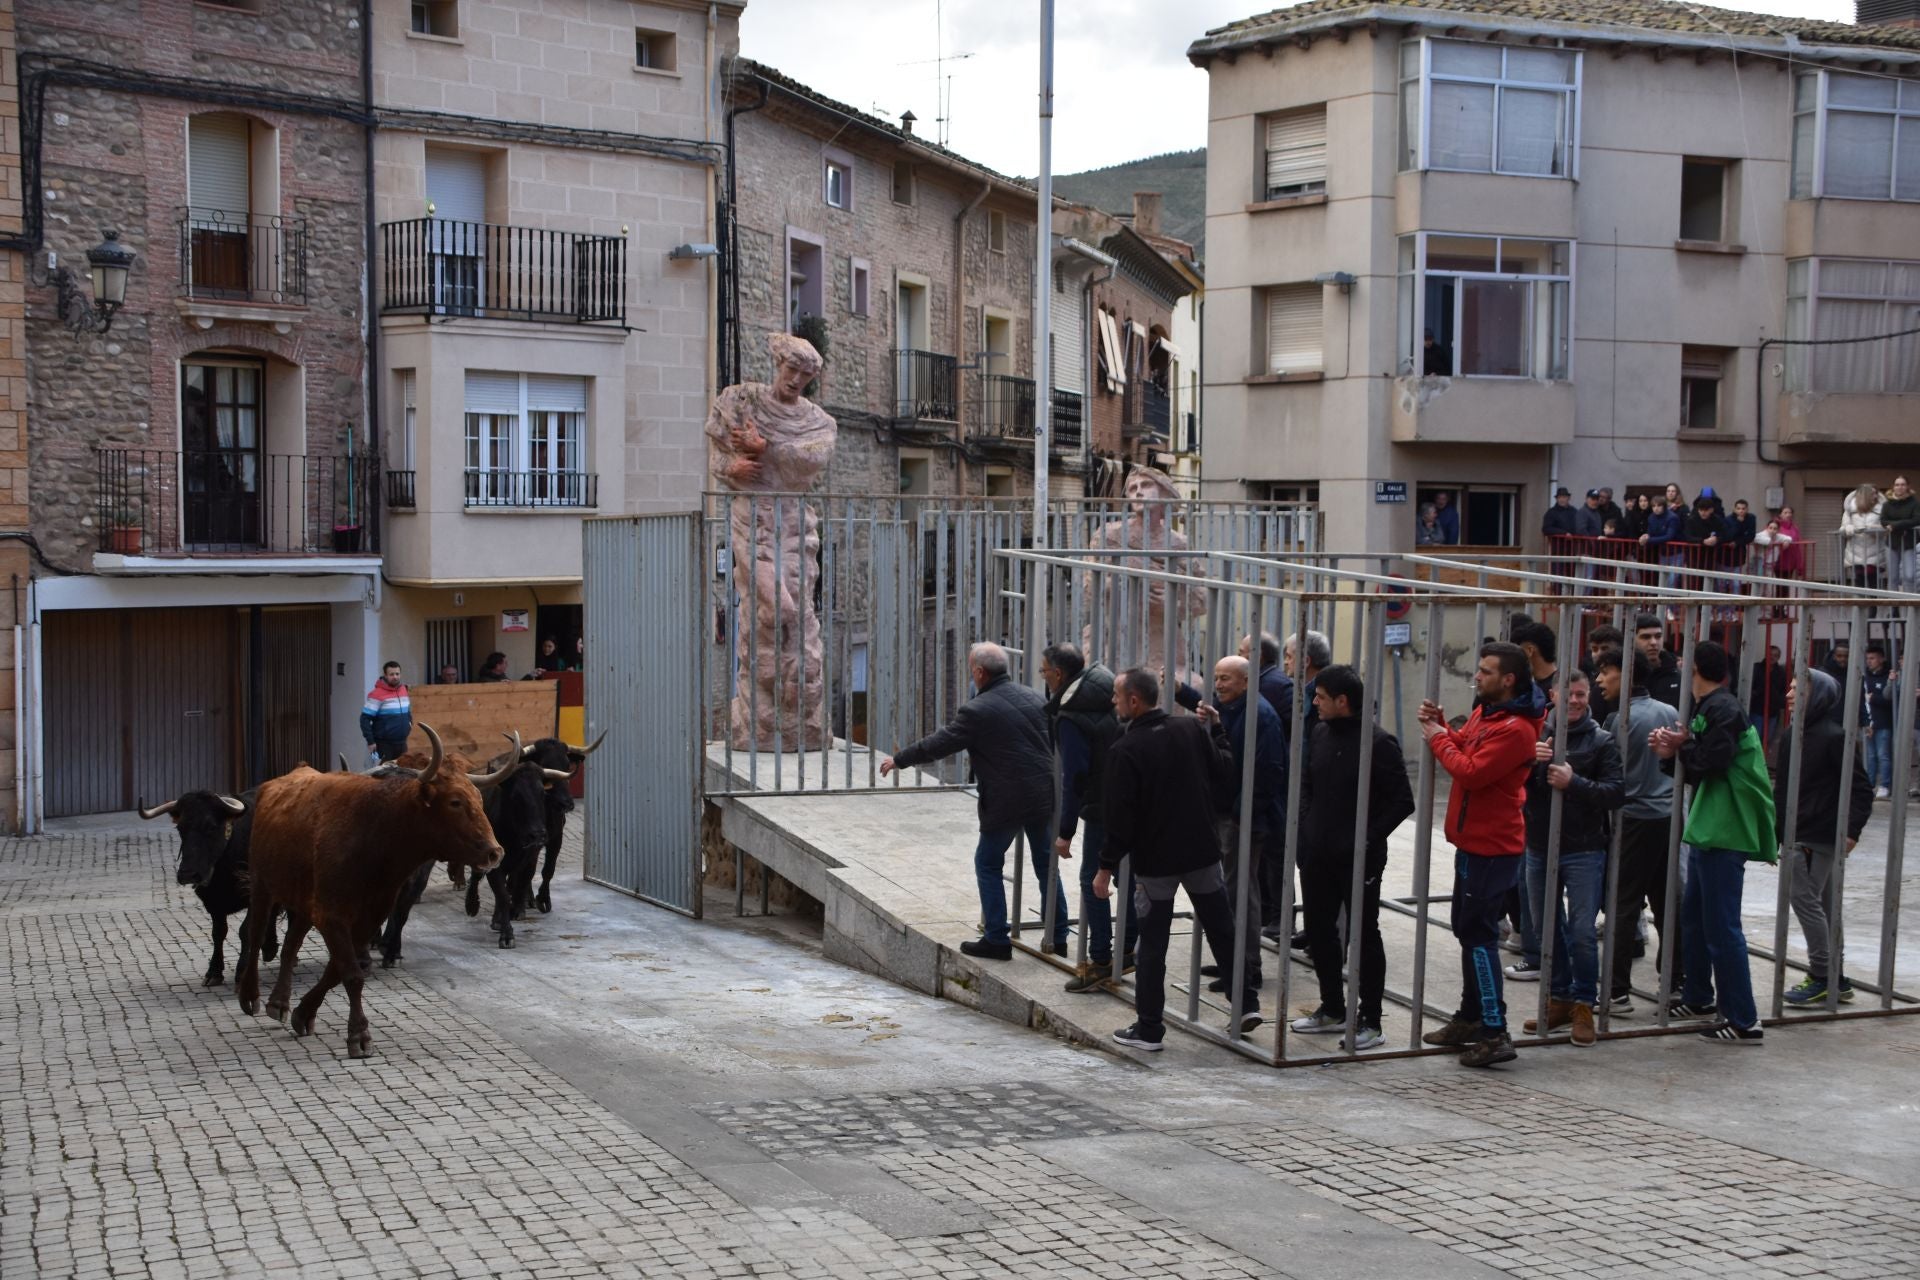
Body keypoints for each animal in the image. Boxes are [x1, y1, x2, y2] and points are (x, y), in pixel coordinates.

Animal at [140, 790, 280, 990]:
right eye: (180, 828)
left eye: (211, 827)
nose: (188, 874)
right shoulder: (213, 903)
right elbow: (218, 933)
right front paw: (214, 972)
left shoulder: (254, 895)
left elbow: (245, 931)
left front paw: (242, 972)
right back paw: (269, 948)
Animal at [234, 725, 510, 1059]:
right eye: (455, 801)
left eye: (480, 799)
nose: (495, 852)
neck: (374, 833)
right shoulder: (333, 916)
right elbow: (351, 974)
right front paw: (359, 1035)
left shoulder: (368, 918)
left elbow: (339, 970)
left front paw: (304, 1013)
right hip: (263, 885)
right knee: (256, 934)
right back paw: (250, 996)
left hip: (302, 901)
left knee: (290, 947)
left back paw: (279, 1002)